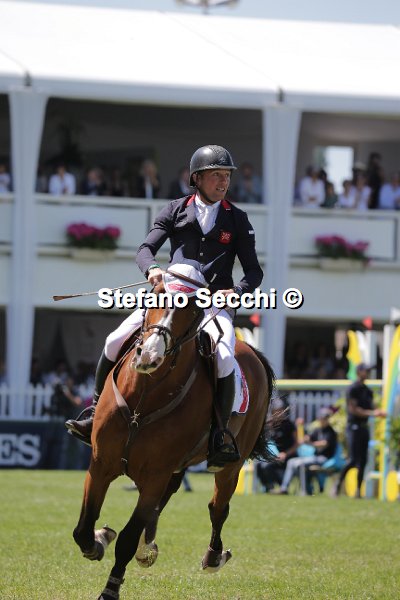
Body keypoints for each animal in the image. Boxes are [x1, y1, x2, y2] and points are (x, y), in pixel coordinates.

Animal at [72, 269, 275, 600]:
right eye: (154, 296)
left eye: (191, 309)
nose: (148, 356)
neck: (144, 397)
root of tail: (251, 351)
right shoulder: (101, 464)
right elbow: (84, 529)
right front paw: (100, 538)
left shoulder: (155, 474)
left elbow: (127, 538)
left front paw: (110, 589)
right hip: (177, 464)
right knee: (169, 497)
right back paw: (147, 547)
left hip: (229, 465)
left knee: (217, 508)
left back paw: (213, 557)